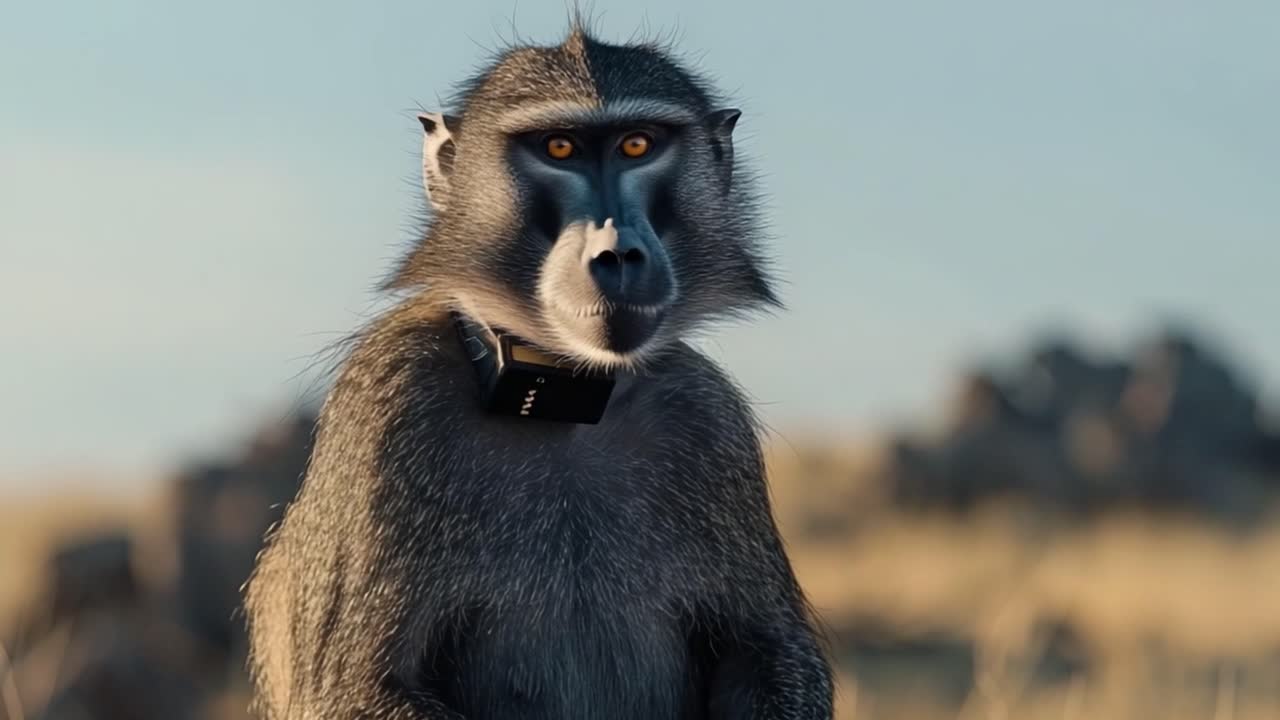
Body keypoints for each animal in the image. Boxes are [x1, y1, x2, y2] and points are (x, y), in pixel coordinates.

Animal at [243, 23, 835, 720]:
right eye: (559, 148)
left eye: (638, 145)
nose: (618, 255)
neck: (563, 400)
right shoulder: (390, 399)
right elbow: (357, 687)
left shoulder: (707, 417)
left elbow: (769, 654)